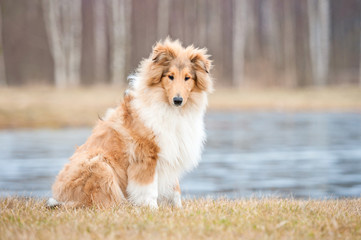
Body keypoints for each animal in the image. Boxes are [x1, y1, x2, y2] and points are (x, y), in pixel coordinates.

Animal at [51, 39, 214, 208]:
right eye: (170, 76)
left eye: (187, 78)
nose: (178, 100)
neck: (171, 110)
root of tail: (58, 198)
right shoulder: (146, 156)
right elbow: (149, 189)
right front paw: (152, 209)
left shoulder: (170, 150)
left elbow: (175, 189)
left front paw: (178, 208)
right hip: (100, 165)